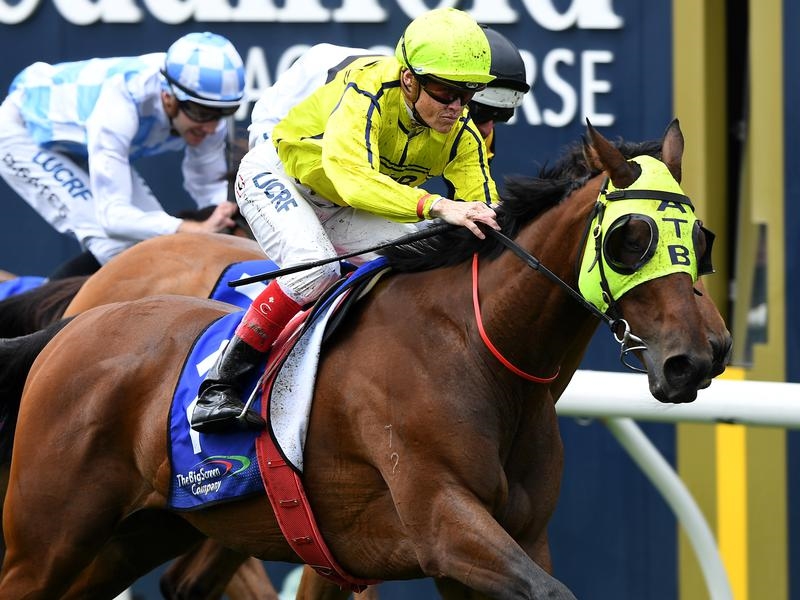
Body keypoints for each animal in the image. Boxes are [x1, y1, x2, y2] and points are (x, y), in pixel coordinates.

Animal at [0, 121, 731, 599]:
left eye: (700, 236)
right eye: (629, 238)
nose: (697, 359)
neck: (477, 353)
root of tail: (74, 326)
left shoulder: (511, 539)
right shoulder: (443, 523)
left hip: (141, 532)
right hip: (47, 536)